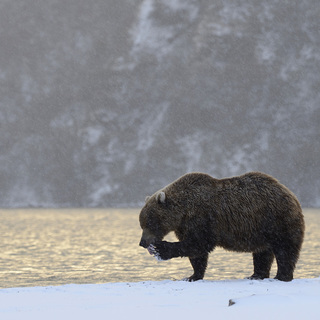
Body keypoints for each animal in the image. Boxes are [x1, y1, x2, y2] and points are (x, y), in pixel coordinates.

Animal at [139, 172, 304, 280]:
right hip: (262, 230)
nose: (142, 242)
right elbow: (197, 254)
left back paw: (282, 276)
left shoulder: (202, 218)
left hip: (277, 219)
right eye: (142, 223)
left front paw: (161, 249)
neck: (183, 212)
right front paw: (192, 275)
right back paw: (256, 275)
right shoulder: (185, 226)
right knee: (262, 253)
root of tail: (291, 194)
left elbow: (198, 244)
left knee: (285, 250)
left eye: (150, 223)